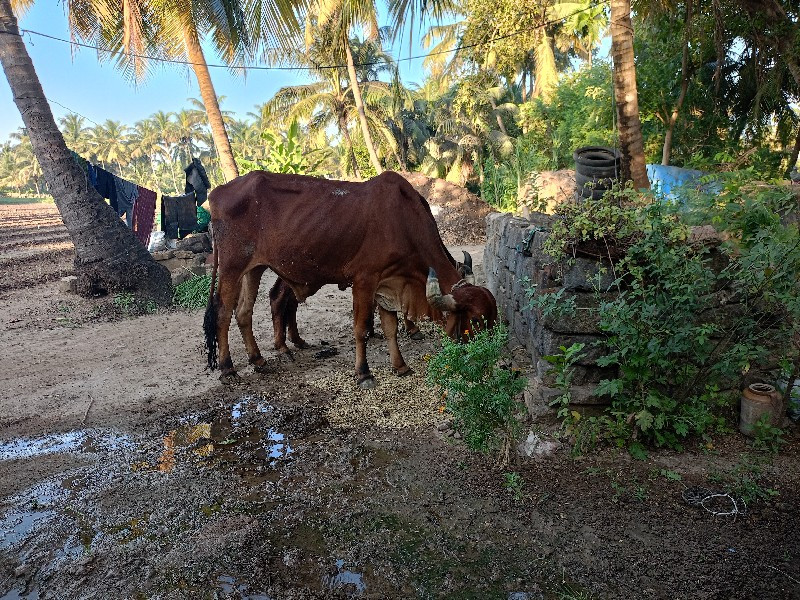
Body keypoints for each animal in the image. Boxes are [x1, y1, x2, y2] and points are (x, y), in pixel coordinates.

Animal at [203, 169, 496, 390]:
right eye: (476, 320)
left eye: (494, 318)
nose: (491, 358)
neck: (403, 220)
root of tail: (217, 193)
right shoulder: (364, 281)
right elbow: (362, 329)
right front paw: (364, 373)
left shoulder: (387, 284)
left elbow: (390, 328)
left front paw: (400, 366)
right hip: (231, 268)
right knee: (224, 313)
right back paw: (228, 369)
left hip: (254, 269)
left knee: (245, 312)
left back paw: (258, 359)